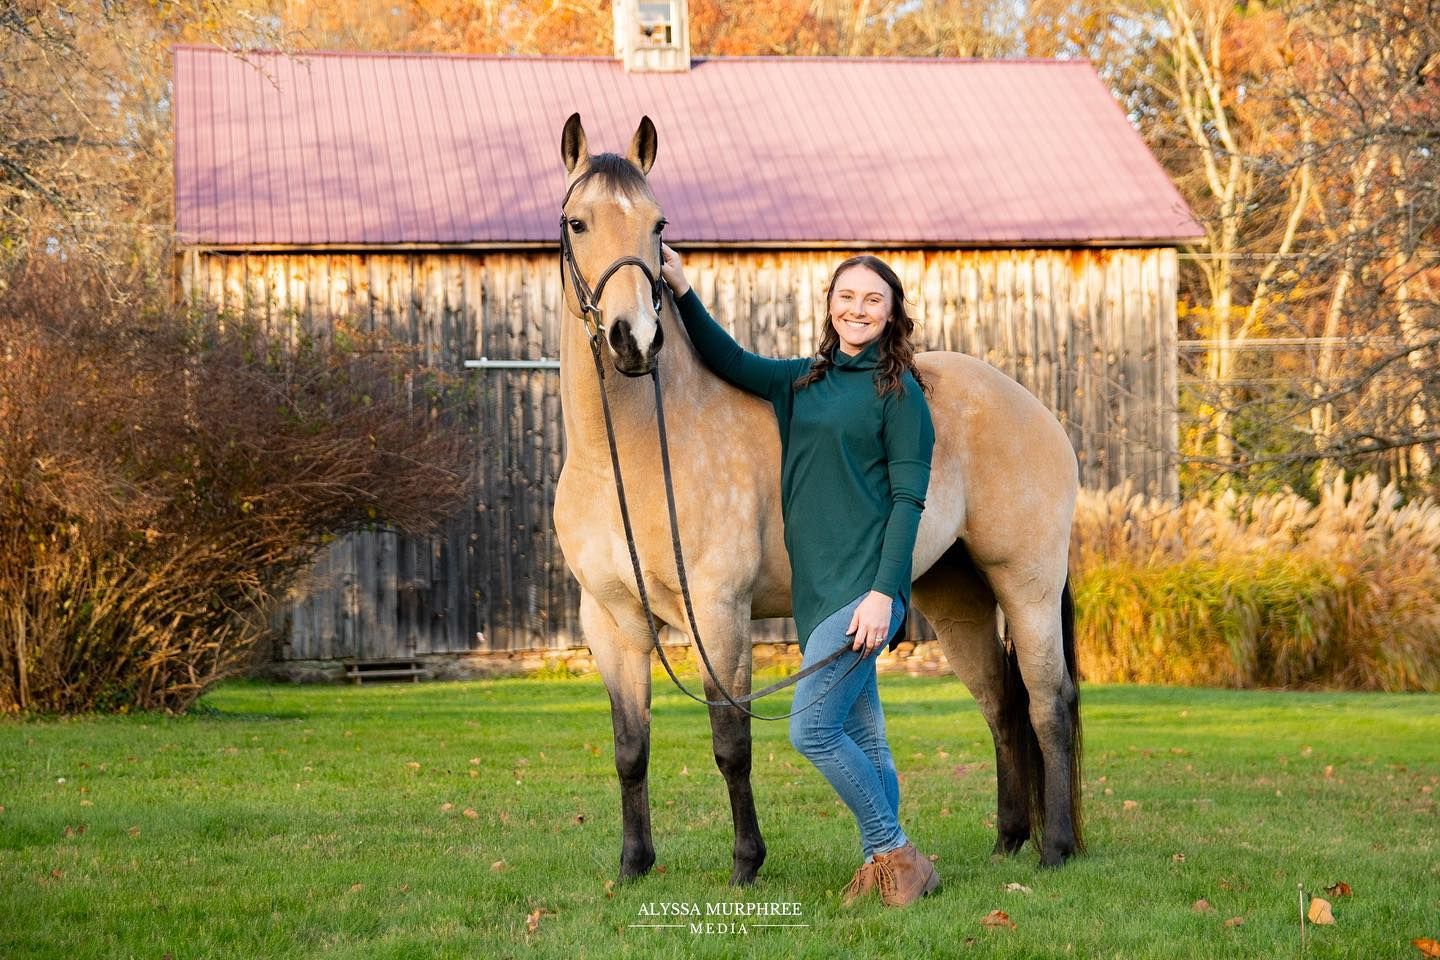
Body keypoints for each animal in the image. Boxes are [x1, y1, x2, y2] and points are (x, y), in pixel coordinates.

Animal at [551, 113, 1083, 886]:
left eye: (659, 224)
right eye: (578, 222)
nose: (634, 341)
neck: (639, 451)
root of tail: (1037, 410)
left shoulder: (718, 612)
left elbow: (731, 742)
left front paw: (746, 865)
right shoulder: (611, 623)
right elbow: (630, 750)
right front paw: (633, 867)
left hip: (1028, 585)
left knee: (1049, 705)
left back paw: (1056, 850)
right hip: (957, 595)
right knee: (1003, 707)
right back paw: (1008, 841)